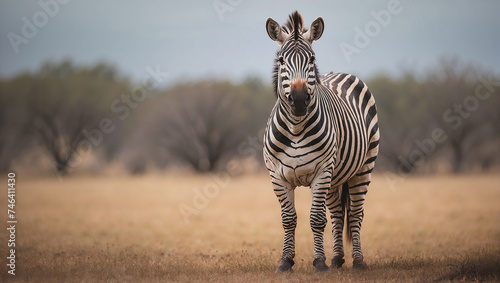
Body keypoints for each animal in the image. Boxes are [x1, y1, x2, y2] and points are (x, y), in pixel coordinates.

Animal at [262, 11, 378, 276]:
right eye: (282, 60)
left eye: (312, 58)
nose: (299, 99)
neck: (296, 128)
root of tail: (340, 72)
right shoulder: (277, 175)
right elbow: (288, 219)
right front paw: (286, 262)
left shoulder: (322, 171)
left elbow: (316, 219)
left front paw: (319, 263)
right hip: (337, 177)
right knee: (337, 213)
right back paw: (337, 259)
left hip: (363, 167)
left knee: (355, 214)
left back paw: (357, 261)